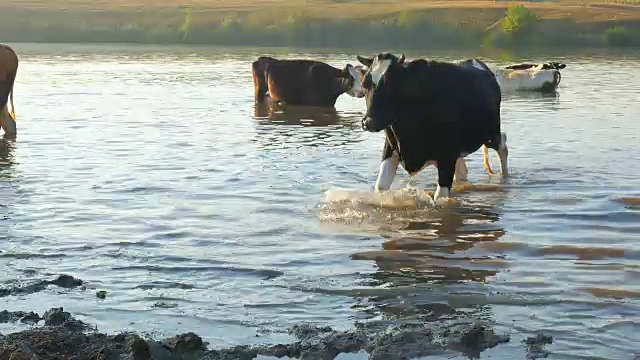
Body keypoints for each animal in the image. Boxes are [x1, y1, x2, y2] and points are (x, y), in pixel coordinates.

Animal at [358, 52, 508, 202]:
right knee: (462, 171)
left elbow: (441, 197)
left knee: (502, 146)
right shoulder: (390, 148)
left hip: (490, 134)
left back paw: (504, 176)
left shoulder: (447, 155)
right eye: (364, 83)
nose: (369, 122)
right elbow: (380, 187)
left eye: (393, 84)